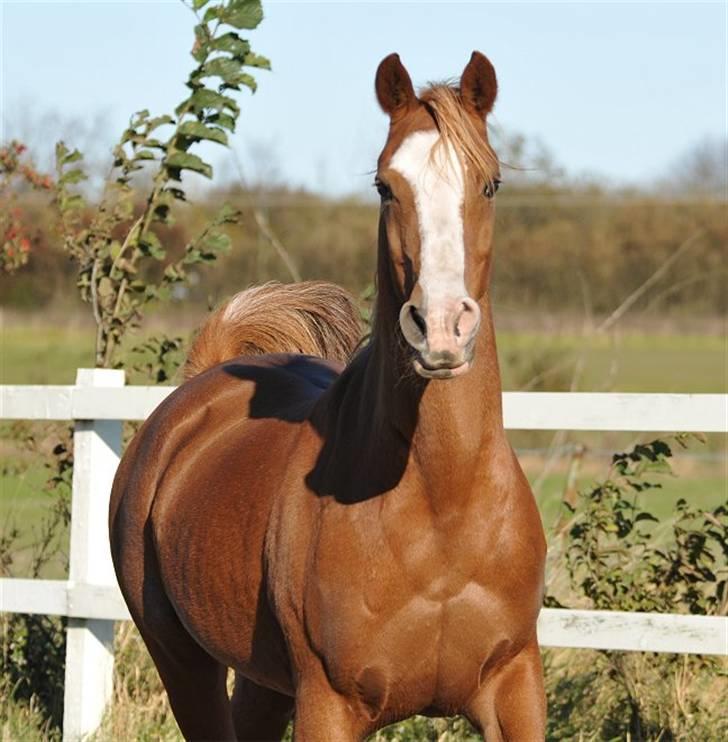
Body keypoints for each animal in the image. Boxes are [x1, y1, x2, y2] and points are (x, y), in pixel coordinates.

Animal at [109, 53, 544, 742]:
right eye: (386, 187)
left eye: (490, 184)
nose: (441, 327)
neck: (444, 508)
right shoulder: (329, 702)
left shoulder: (515, 686)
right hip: (181, 660)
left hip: (262, 680)